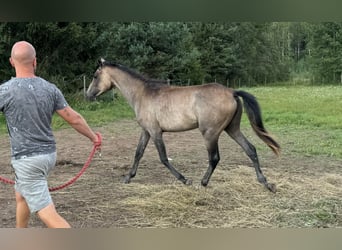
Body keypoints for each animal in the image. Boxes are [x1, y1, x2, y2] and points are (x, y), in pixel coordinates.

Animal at [86, 57, 280, 192]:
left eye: (95, 76)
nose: (87, 95)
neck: (143, 93)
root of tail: (232, 92)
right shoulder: (146, 131)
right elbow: (138, 153)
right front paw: (128, 177)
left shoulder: (156, 132)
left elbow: (163, 158)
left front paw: (185, 180)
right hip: (232, 129)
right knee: (251, 149)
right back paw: (266, 183)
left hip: (210, 133)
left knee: (214, 158)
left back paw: (203, 183)